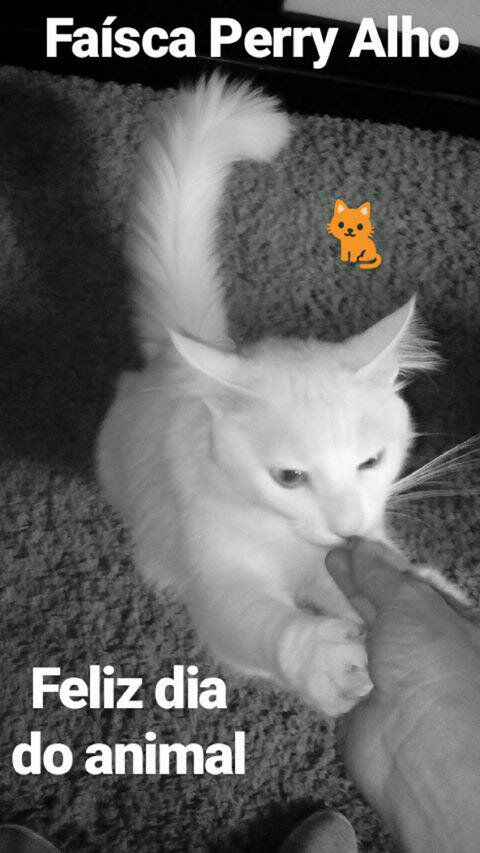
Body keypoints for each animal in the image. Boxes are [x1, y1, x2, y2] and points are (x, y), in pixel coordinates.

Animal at [97, 74, 466, 717]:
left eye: (371, 461)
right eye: (289, 478)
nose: (345, 526)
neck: (284, 538)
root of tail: (174, 353)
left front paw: (439, 597)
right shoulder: (216, 567)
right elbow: (256, 622)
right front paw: (325, 660)